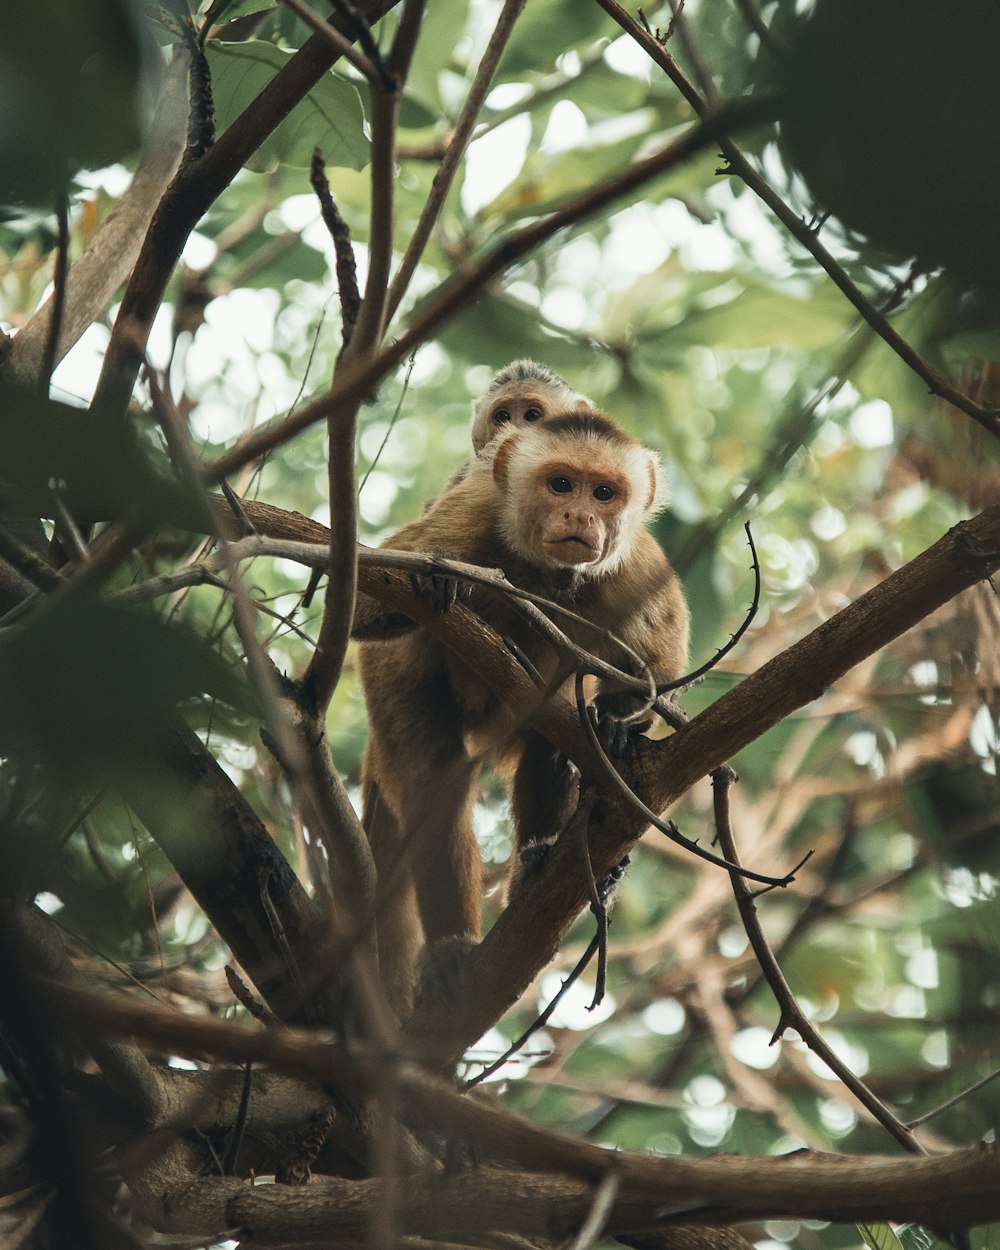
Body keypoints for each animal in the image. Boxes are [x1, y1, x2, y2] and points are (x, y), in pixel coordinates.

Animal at [352, 405, 690, 1010]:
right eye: (560, 485)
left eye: (604, 493)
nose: (580, 514)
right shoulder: (469, 517)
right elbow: (362, 599)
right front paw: (439, 578)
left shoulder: (636, 564)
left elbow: (665, 671)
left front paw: (618, 720)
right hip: (390, 681)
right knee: (433, 776)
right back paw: (451, 949)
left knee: (551, 744)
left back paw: (539, 875)